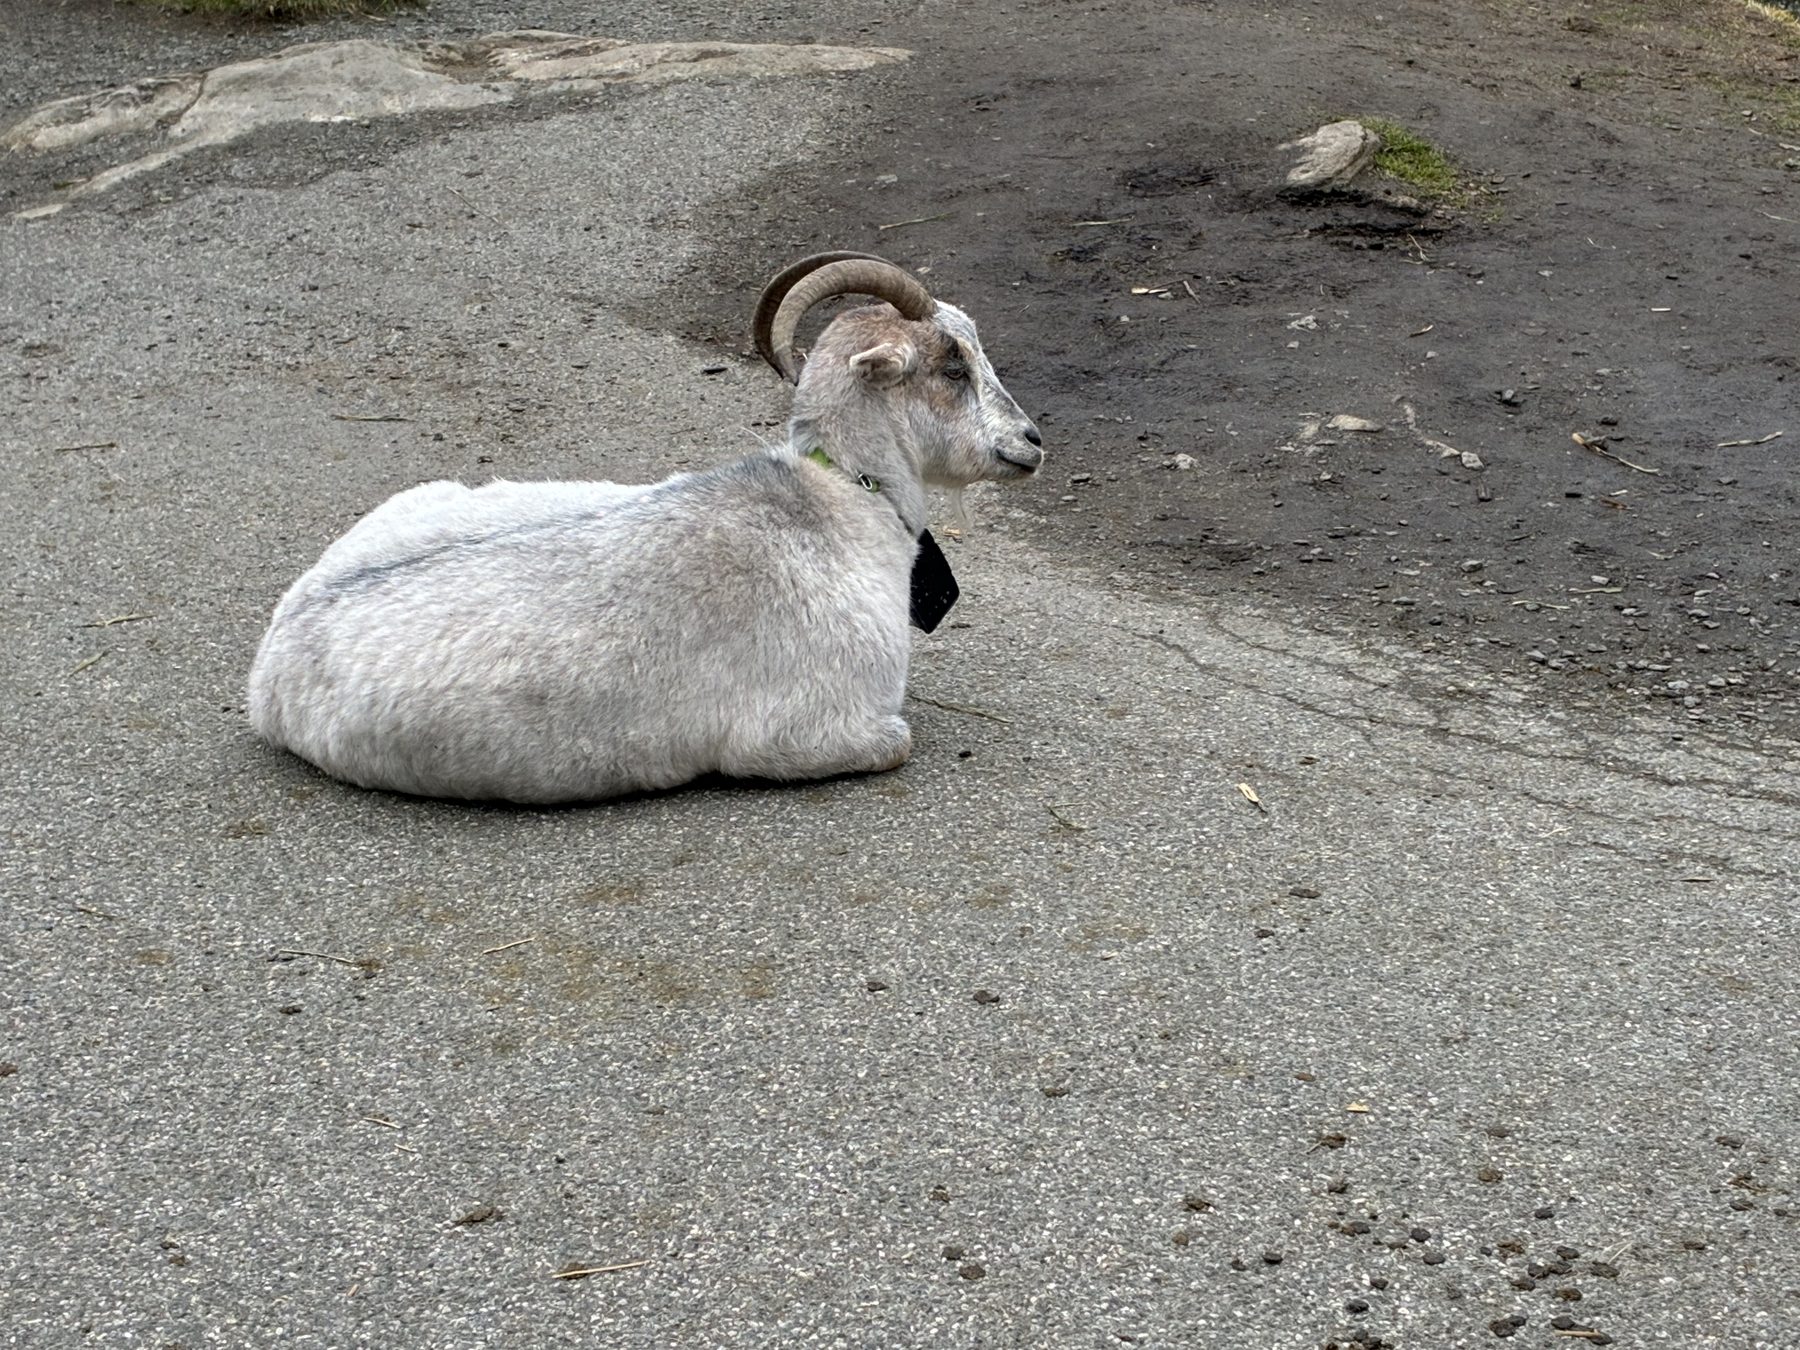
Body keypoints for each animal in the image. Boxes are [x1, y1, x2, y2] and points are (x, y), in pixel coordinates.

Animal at [247, 254, 1043, 803]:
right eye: (951, 365)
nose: (1031, 442)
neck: (836, 504)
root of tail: (268, 668)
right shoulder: (816, 731)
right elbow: (894, 742)